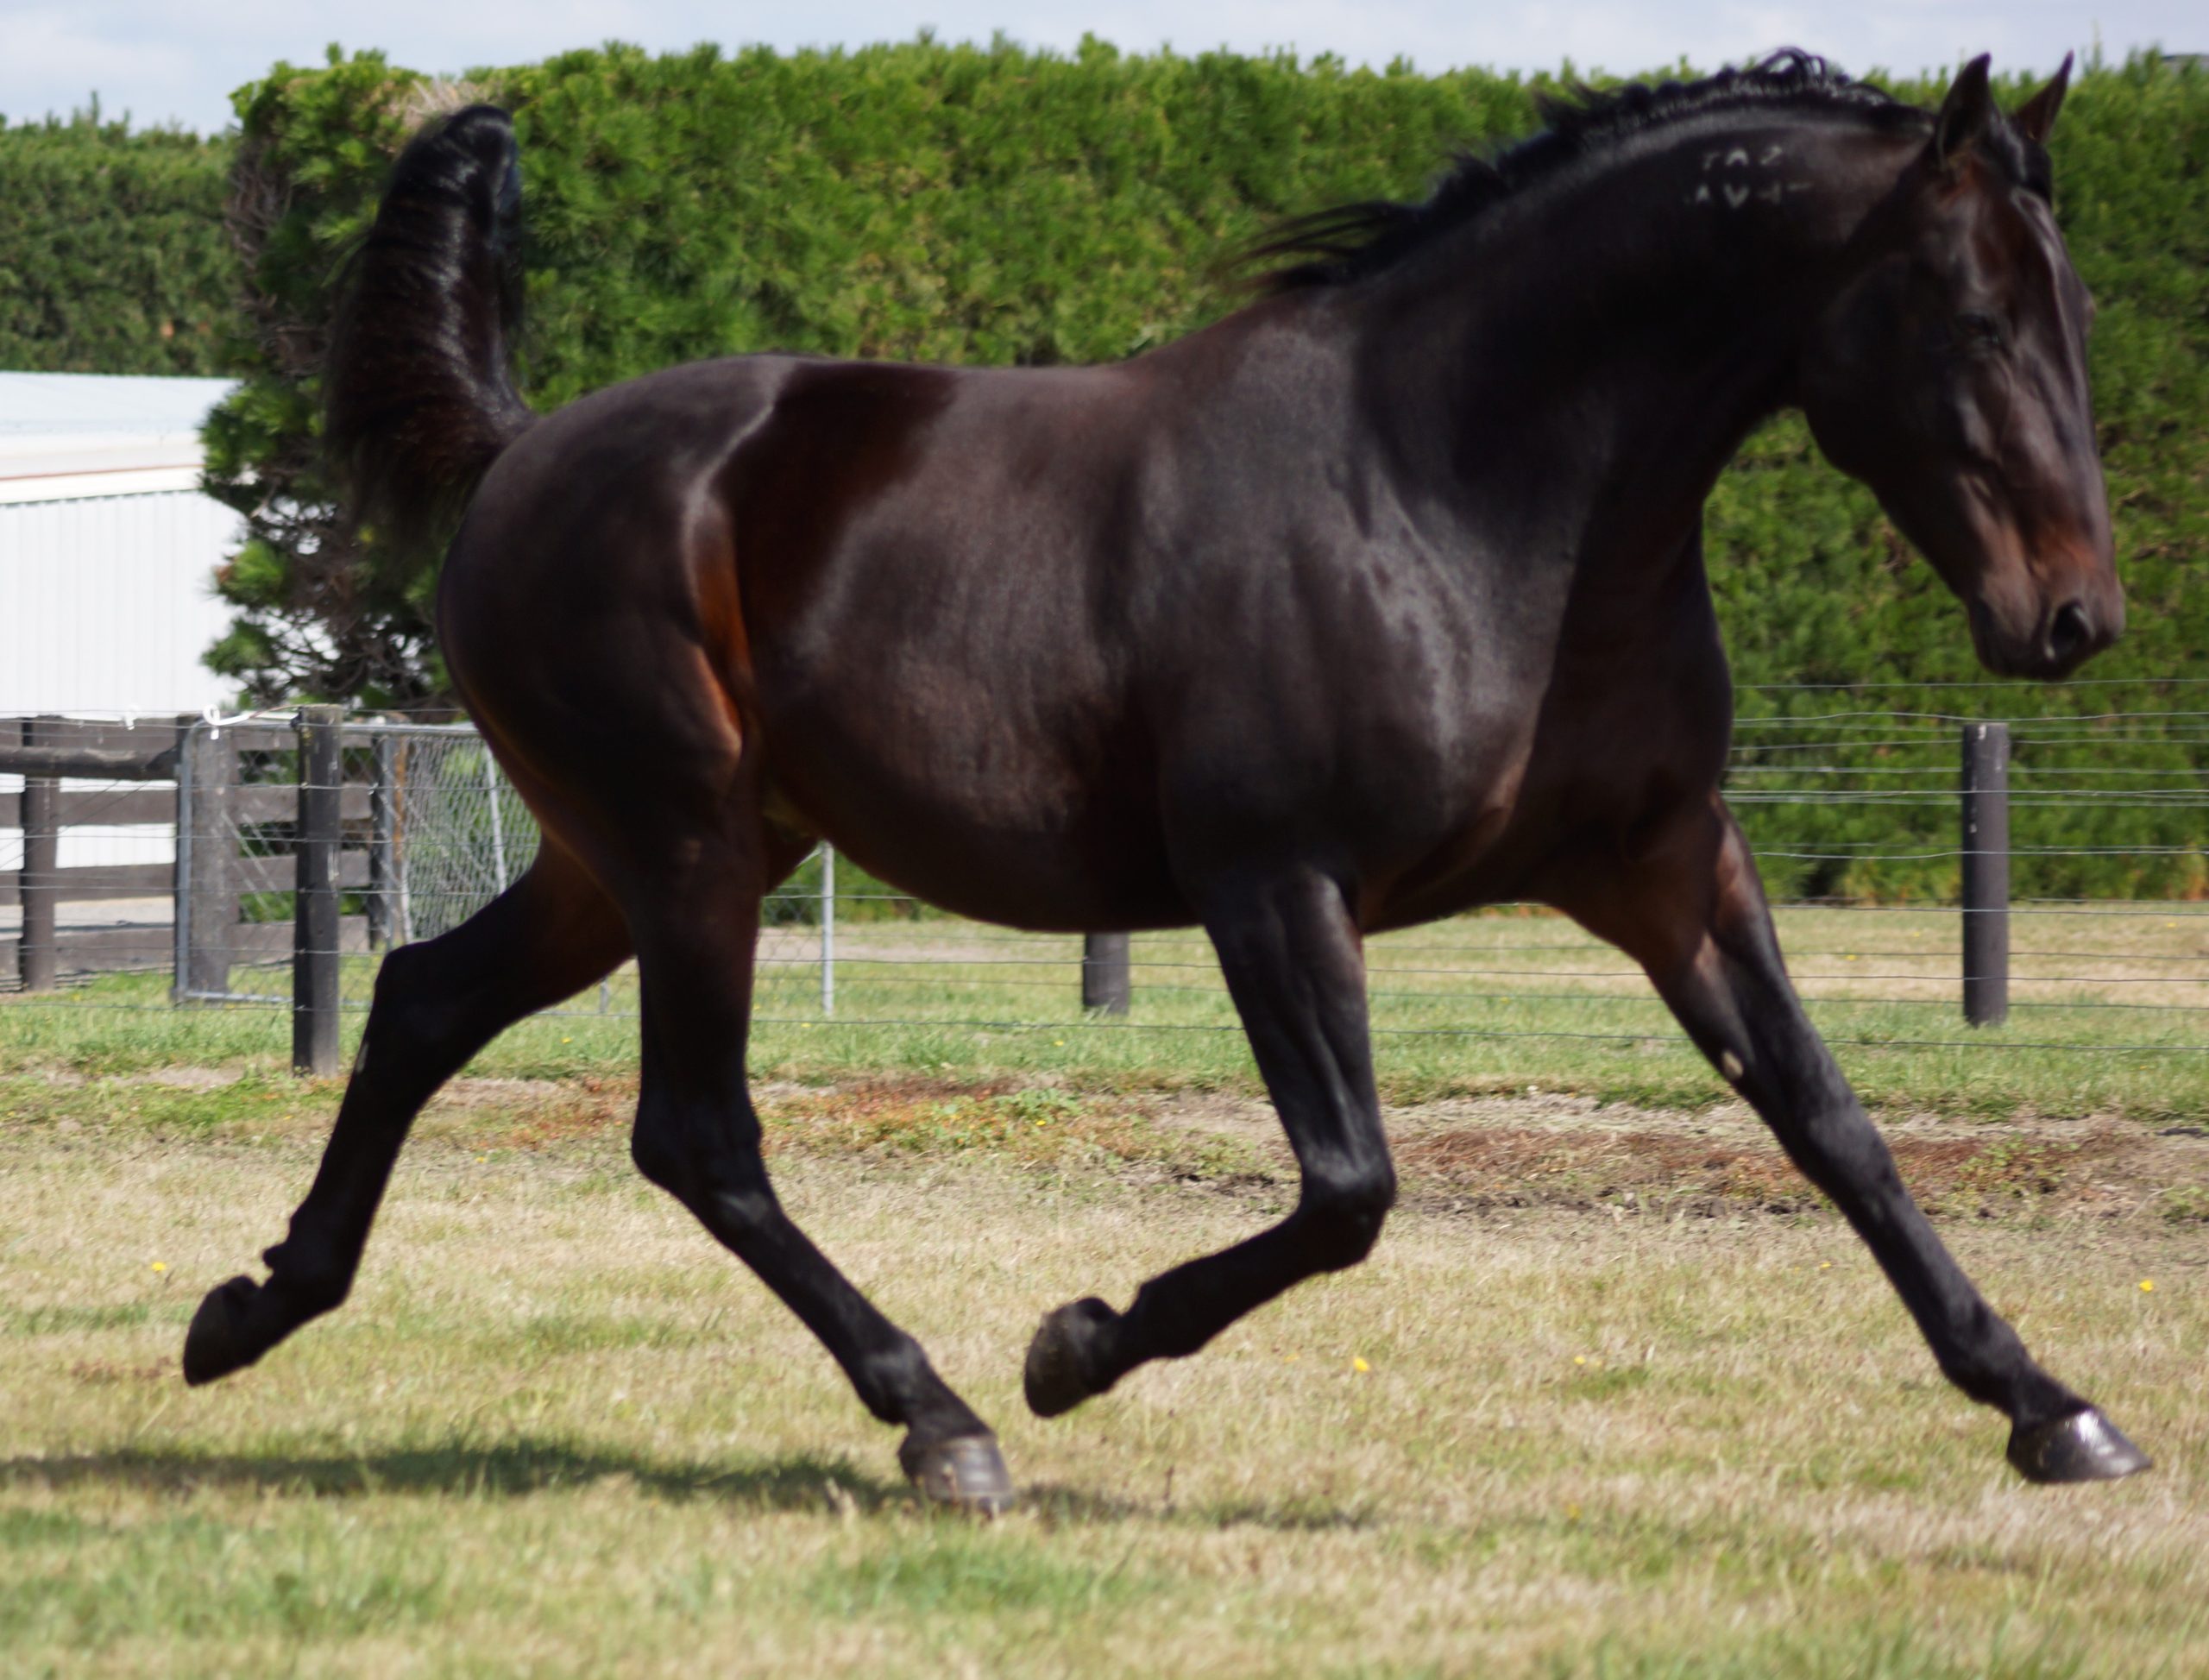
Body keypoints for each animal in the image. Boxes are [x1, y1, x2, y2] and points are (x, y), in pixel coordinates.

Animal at [182, 50, 2148, 1512]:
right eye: (1976, 316)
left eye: (2072, 309)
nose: (2071, 617)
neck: (1456, 487)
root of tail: (522, 451)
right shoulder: (1272, 884)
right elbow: (1348, 1187)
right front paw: (1074, 1346)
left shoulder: (1664, 865)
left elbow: (1834, 1127)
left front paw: (2049, 1406)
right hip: (686, 853)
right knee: (694, 1128)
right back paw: (941, 1417)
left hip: (624, 861)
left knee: (423, 1002)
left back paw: (252, 1306)